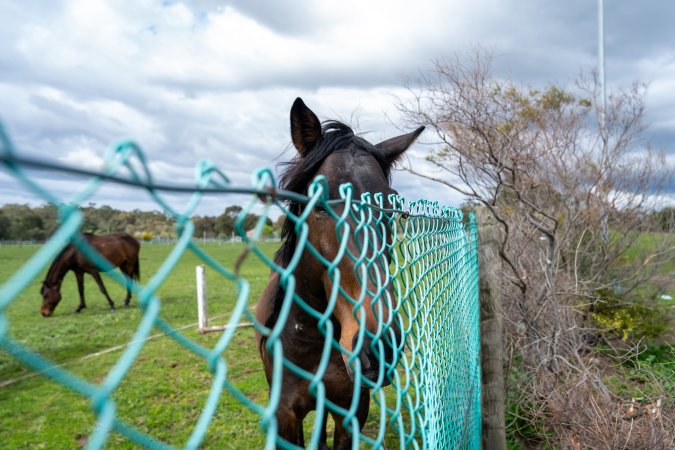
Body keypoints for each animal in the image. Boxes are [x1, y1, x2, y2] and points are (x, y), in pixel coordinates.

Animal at [255, 98, 424, 449]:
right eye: (318, 203)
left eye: (392, 206)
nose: (379, 345)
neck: (312, 338)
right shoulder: (285, 417)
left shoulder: (351, 411)